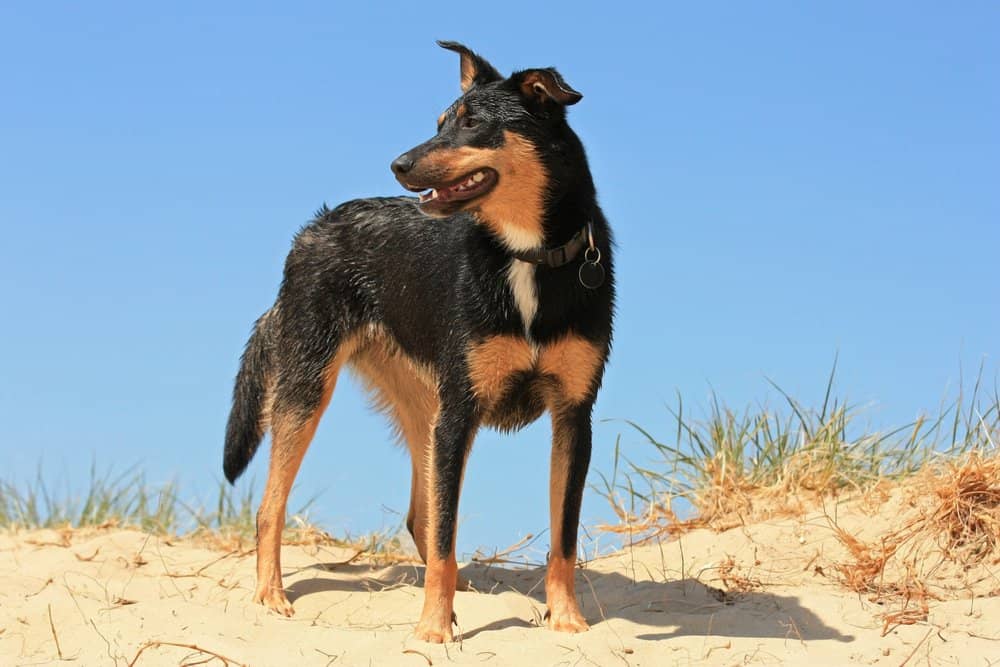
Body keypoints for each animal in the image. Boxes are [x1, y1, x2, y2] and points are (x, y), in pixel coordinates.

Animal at [223, 40, 612, 640]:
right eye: (439, 123)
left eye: (473, 123)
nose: (398, 164)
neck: (524, 254)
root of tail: (313, 229)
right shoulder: (461, 413)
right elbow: (449, 535)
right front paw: (432, 631)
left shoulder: (574, 416)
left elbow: (563, 539)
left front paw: (566, 620)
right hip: (309, 388)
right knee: (271, 507)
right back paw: (272, 595)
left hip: (423, 407)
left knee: (418, 515)